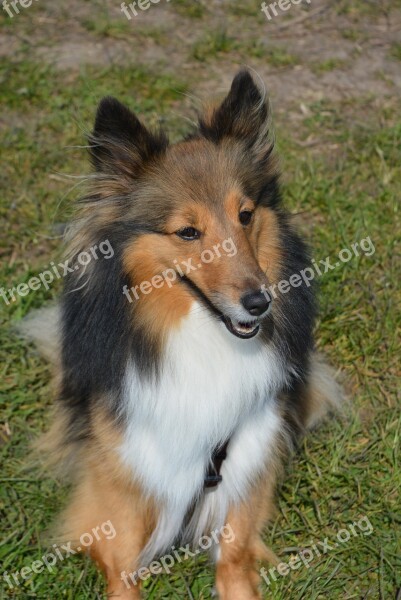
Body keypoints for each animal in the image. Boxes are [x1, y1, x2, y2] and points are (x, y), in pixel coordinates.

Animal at [21, 69, 340, 596]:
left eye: (246, 215)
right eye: (187, 232)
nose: (260, 302)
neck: (204, 338)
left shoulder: (249, 449)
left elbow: (235, 550)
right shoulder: (120, 476)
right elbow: (122, 561)